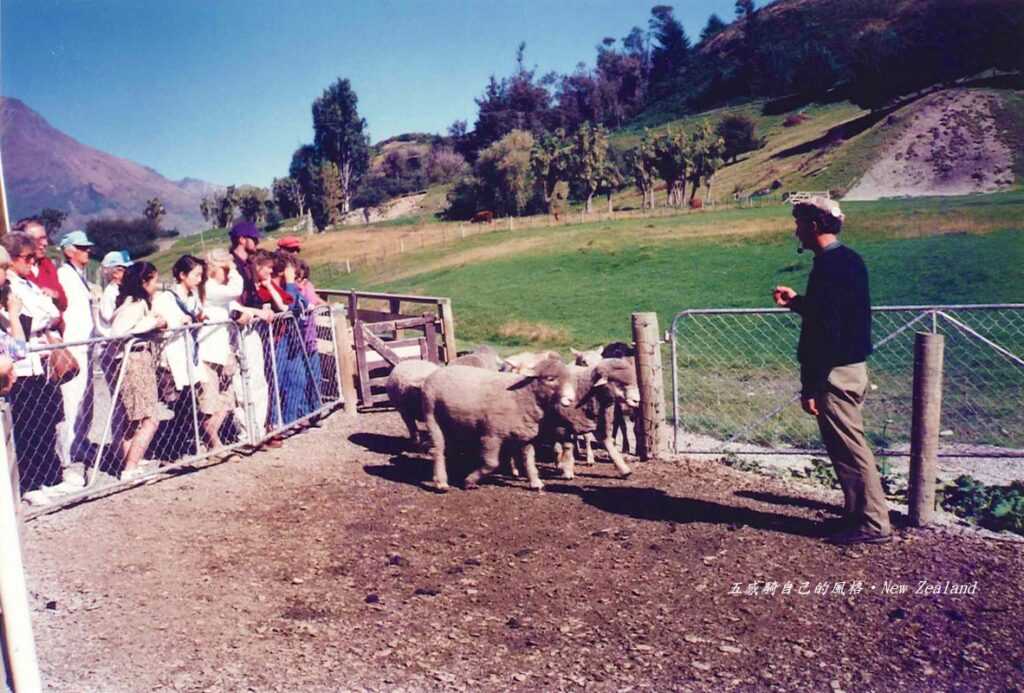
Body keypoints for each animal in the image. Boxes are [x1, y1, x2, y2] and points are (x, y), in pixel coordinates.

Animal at [417, 356, 577, 491]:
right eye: (550, 378)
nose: (571, 399)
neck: (523, 395)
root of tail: (437, 371)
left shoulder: (525, 436)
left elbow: (529, 460)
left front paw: (535, 482)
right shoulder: (491, 435)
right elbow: (491, 463)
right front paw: (469, 481)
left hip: (453, 423)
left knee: (448, 449)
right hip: (431, 414)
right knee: (438, 449)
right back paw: (441, 482)